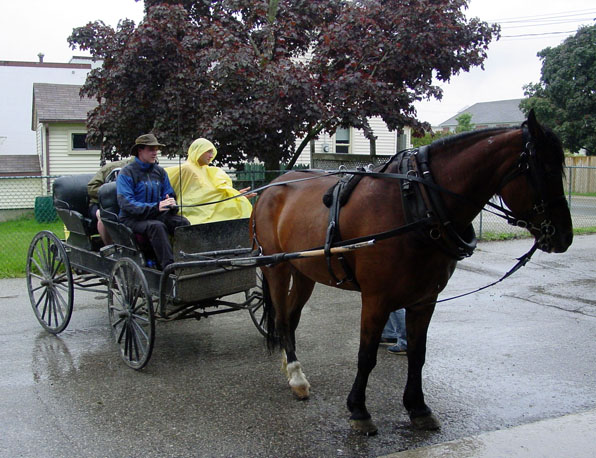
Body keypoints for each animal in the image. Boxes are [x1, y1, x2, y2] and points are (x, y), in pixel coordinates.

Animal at [248, 109, 572, 434]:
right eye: (543, 169)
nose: (564, 236)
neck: (416, 203)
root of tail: (272, 187)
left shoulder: (425, 298)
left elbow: (418, 354)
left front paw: (418, 407)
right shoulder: (376, 299)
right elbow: (366, 355)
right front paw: (359, 410)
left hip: (304, 272)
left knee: (291, 318)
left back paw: (292, 369)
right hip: (277, 268)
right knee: (283, 318)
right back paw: (296, 376)